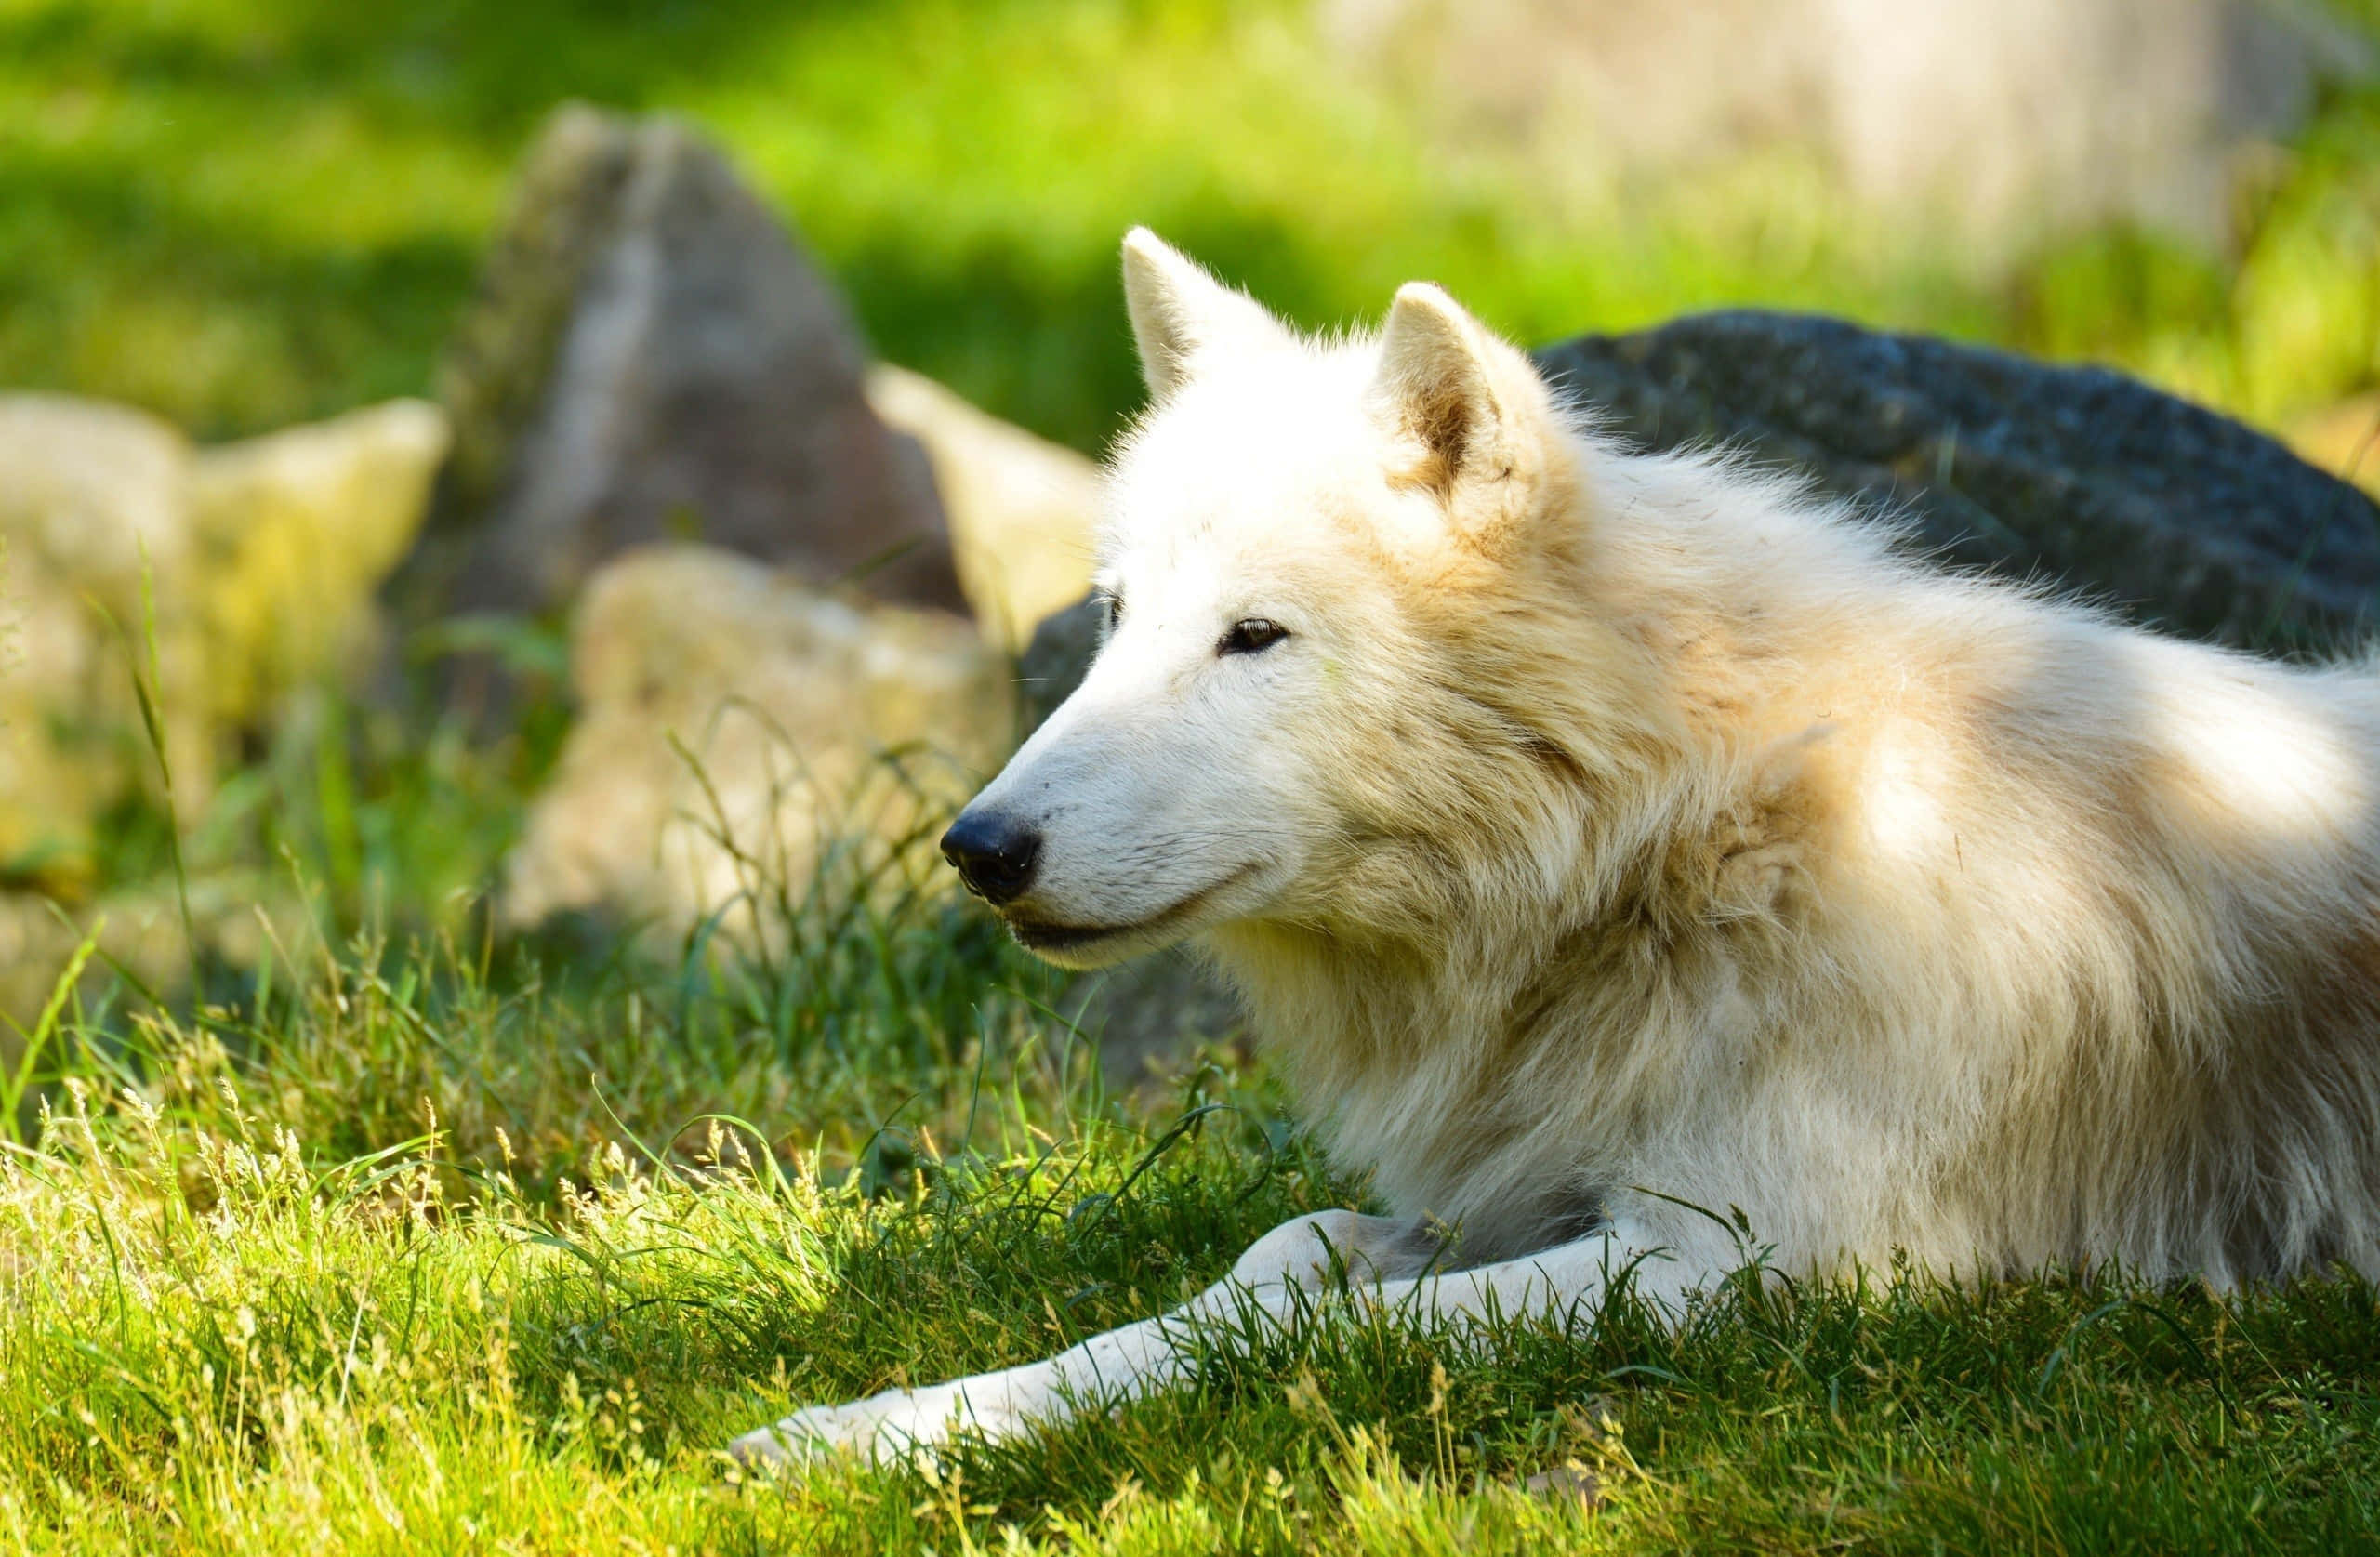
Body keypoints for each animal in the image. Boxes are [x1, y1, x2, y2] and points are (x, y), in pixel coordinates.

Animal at [731, 229, 2380, 1462]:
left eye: (1254, 637)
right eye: (1118, 617)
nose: (977, 845)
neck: (1694, 838)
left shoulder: (1750, 1263)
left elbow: (1297, 1327)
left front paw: (897, 1434)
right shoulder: (1526, 1193)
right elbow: (1277, 1261)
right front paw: (872, 1423)